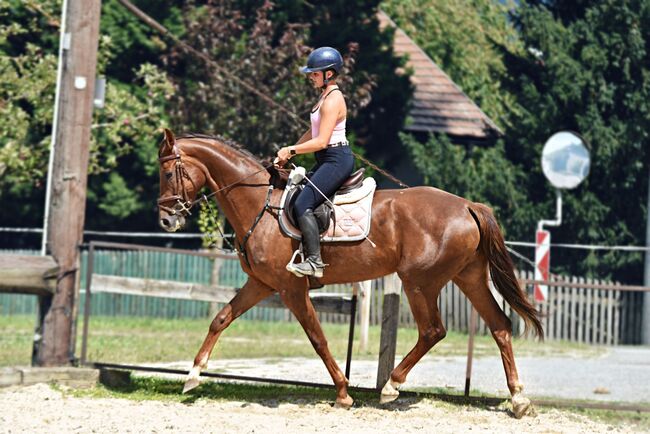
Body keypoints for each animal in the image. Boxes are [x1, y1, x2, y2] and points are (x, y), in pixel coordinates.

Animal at [157, 128, 540, 418]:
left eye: (167, 173)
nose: (165, 220)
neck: (261, 206)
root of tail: (467, 205)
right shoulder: (262, 283)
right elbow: (220, 319)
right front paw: (193, 375)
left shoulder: (291, 288)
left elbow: (318, 338)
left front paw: (343, 392)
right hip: (468, 277)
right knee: (499, 326)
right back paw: (519, 399)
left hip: (420, 282)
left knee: (433, 330)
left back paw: (391, 386)